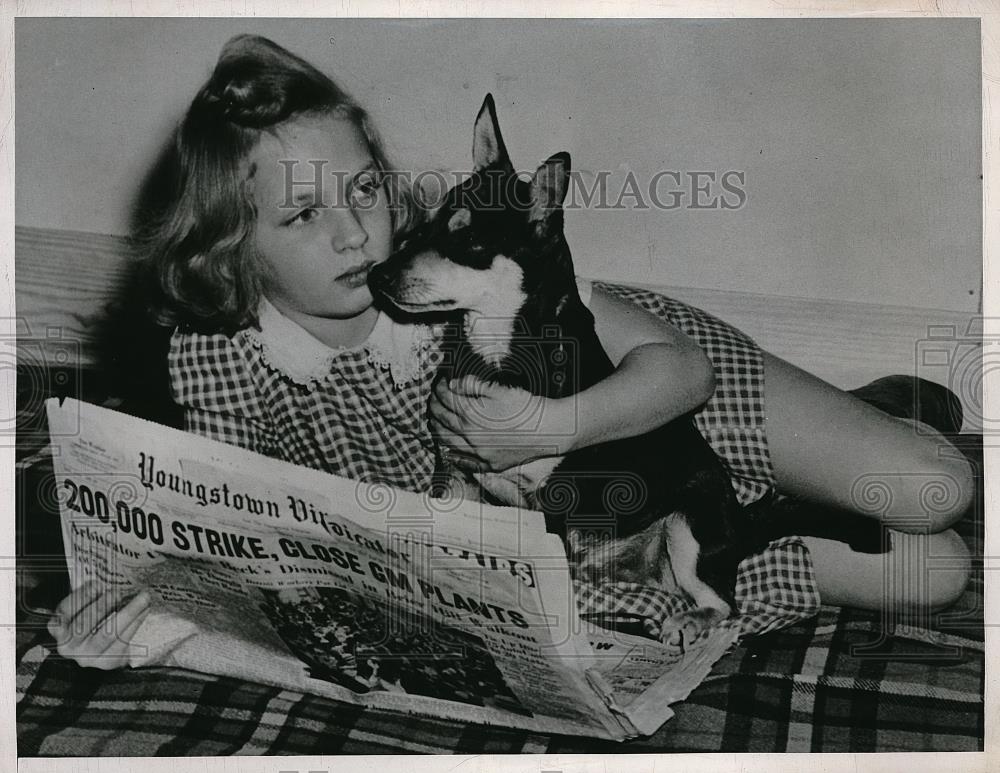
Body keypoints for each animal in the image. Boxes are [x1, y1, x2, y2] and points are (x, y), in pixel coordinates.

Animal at [370, 93, 892, 644]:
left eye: (468, 243)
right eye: (427, 225)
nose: (376, 275)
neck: (496, 345)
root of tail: (740, 528)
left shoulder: (551, 506)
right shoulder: (455, 475)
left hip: (689, 527)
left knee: (724, 604)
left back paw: (687, 621)